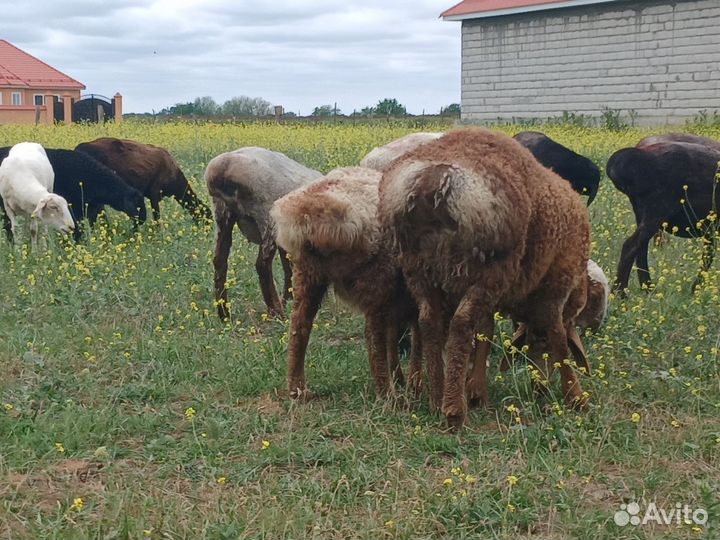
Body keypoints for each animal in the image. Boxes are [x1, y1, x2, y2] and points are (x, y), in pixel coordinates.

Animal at [1, 147, 146, 242]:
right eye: (136, 203)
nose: (143, 219)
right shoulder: (75, 207)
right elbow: (77, 227)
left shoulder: (92, 208)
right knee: (8, 226)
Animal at [205, 147, 323, 319]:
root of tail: (224, 168)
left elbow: (289, 269)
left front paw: (290, 299)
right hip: (267, 217)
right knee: (262, 265)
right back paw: (277, 312)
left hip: (222, 214)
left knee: (219, 260)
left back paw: (224, 313)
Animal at [271, 166, 420, 399]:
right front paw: (413, 385)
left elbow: (396, 338)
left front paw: (403, 381)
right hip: (377, 275)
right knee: (373, 336)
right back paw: (387, 394)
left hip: (308, 275)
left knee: (298, 327)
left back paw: (297, 389)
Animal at [378, 128, 591, 429]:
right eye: (539, 346)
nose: (540, 388)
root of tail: (433, 182)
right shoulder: (556, 286)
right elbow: (559, 336)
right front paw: (575, 396)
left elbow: (485, 333)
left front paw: (477, 390)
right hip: (489, 267)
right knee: (460, 325)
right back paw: (454, 410)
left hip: (419, 269)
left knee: (429, 322)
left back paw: (437, 396)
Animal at [607, 141, 720, 293]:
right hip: (657, 210)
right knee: (631, 246)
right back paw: (620, 292)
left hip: (643, 213)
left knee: (641, 249)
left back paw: (647, 288)